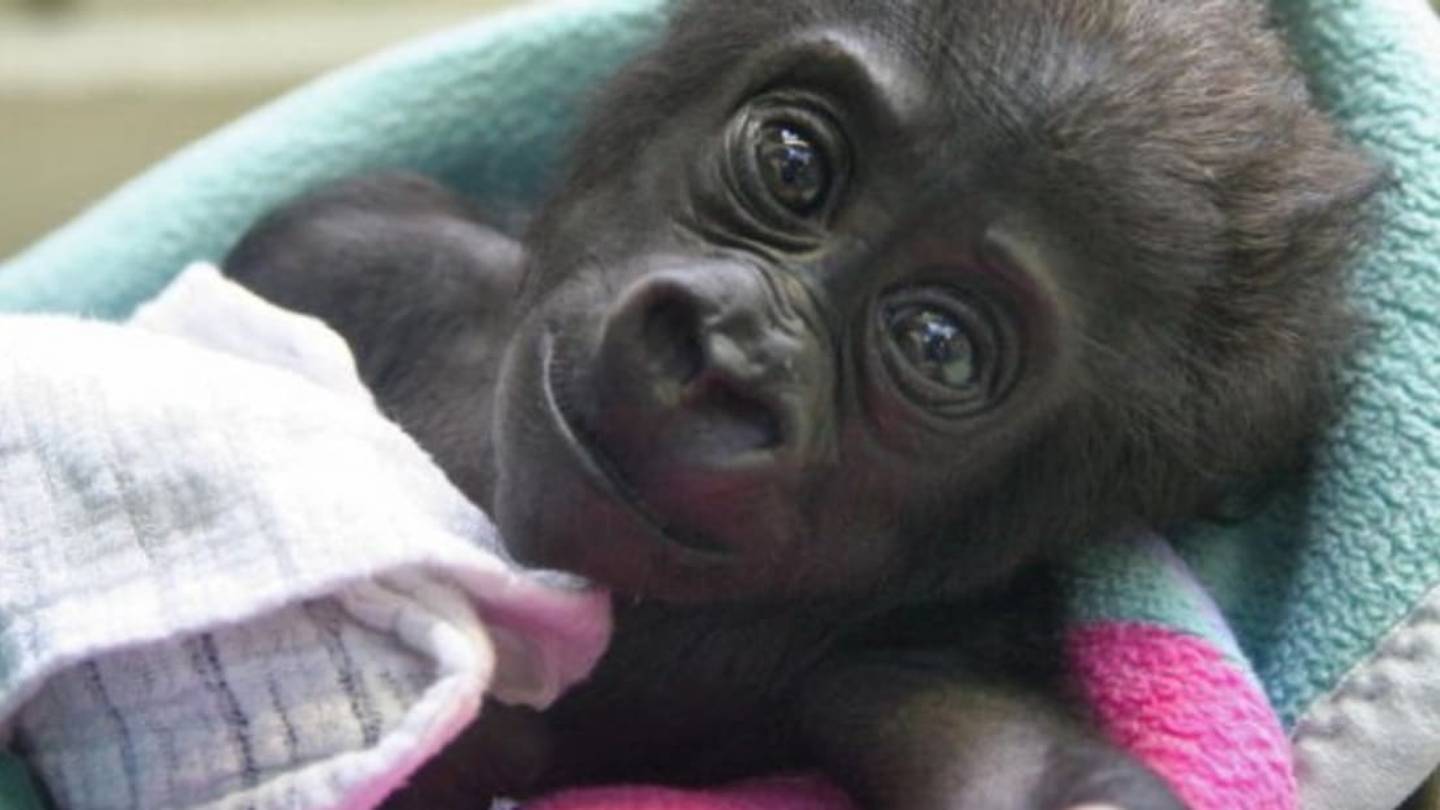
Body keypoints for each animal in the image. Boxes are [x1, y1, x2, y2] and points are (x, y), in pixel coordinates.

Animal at [221, 0, 1380, 807]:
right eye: (791, 163)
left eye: (938, 346)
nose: (724, 358)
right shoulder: (341, 240)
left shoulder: (939, 637)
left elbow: (1042, 776)